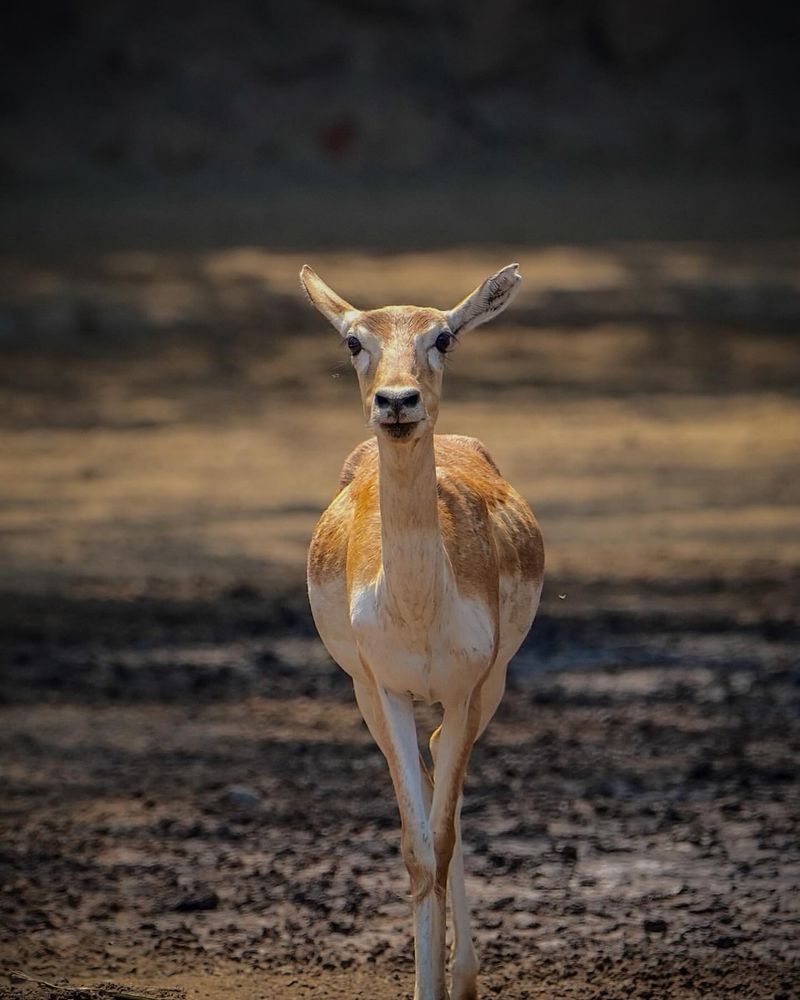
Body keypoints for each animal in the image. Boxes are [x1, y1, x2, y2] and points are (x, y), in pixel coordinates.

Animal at [300, 262, 544, 996]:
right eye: (353, 340)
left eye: (445, 336)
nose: (398, 400)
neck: (416, 611)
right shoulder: (384, 690)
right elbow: (416, 851)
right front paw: (423, 984)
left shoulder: (468, 689)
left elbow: (442, 840)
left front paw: (446, 981)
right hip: (372, 699)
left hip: (490, 688)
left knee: (448, 797)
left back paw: (465, 976)